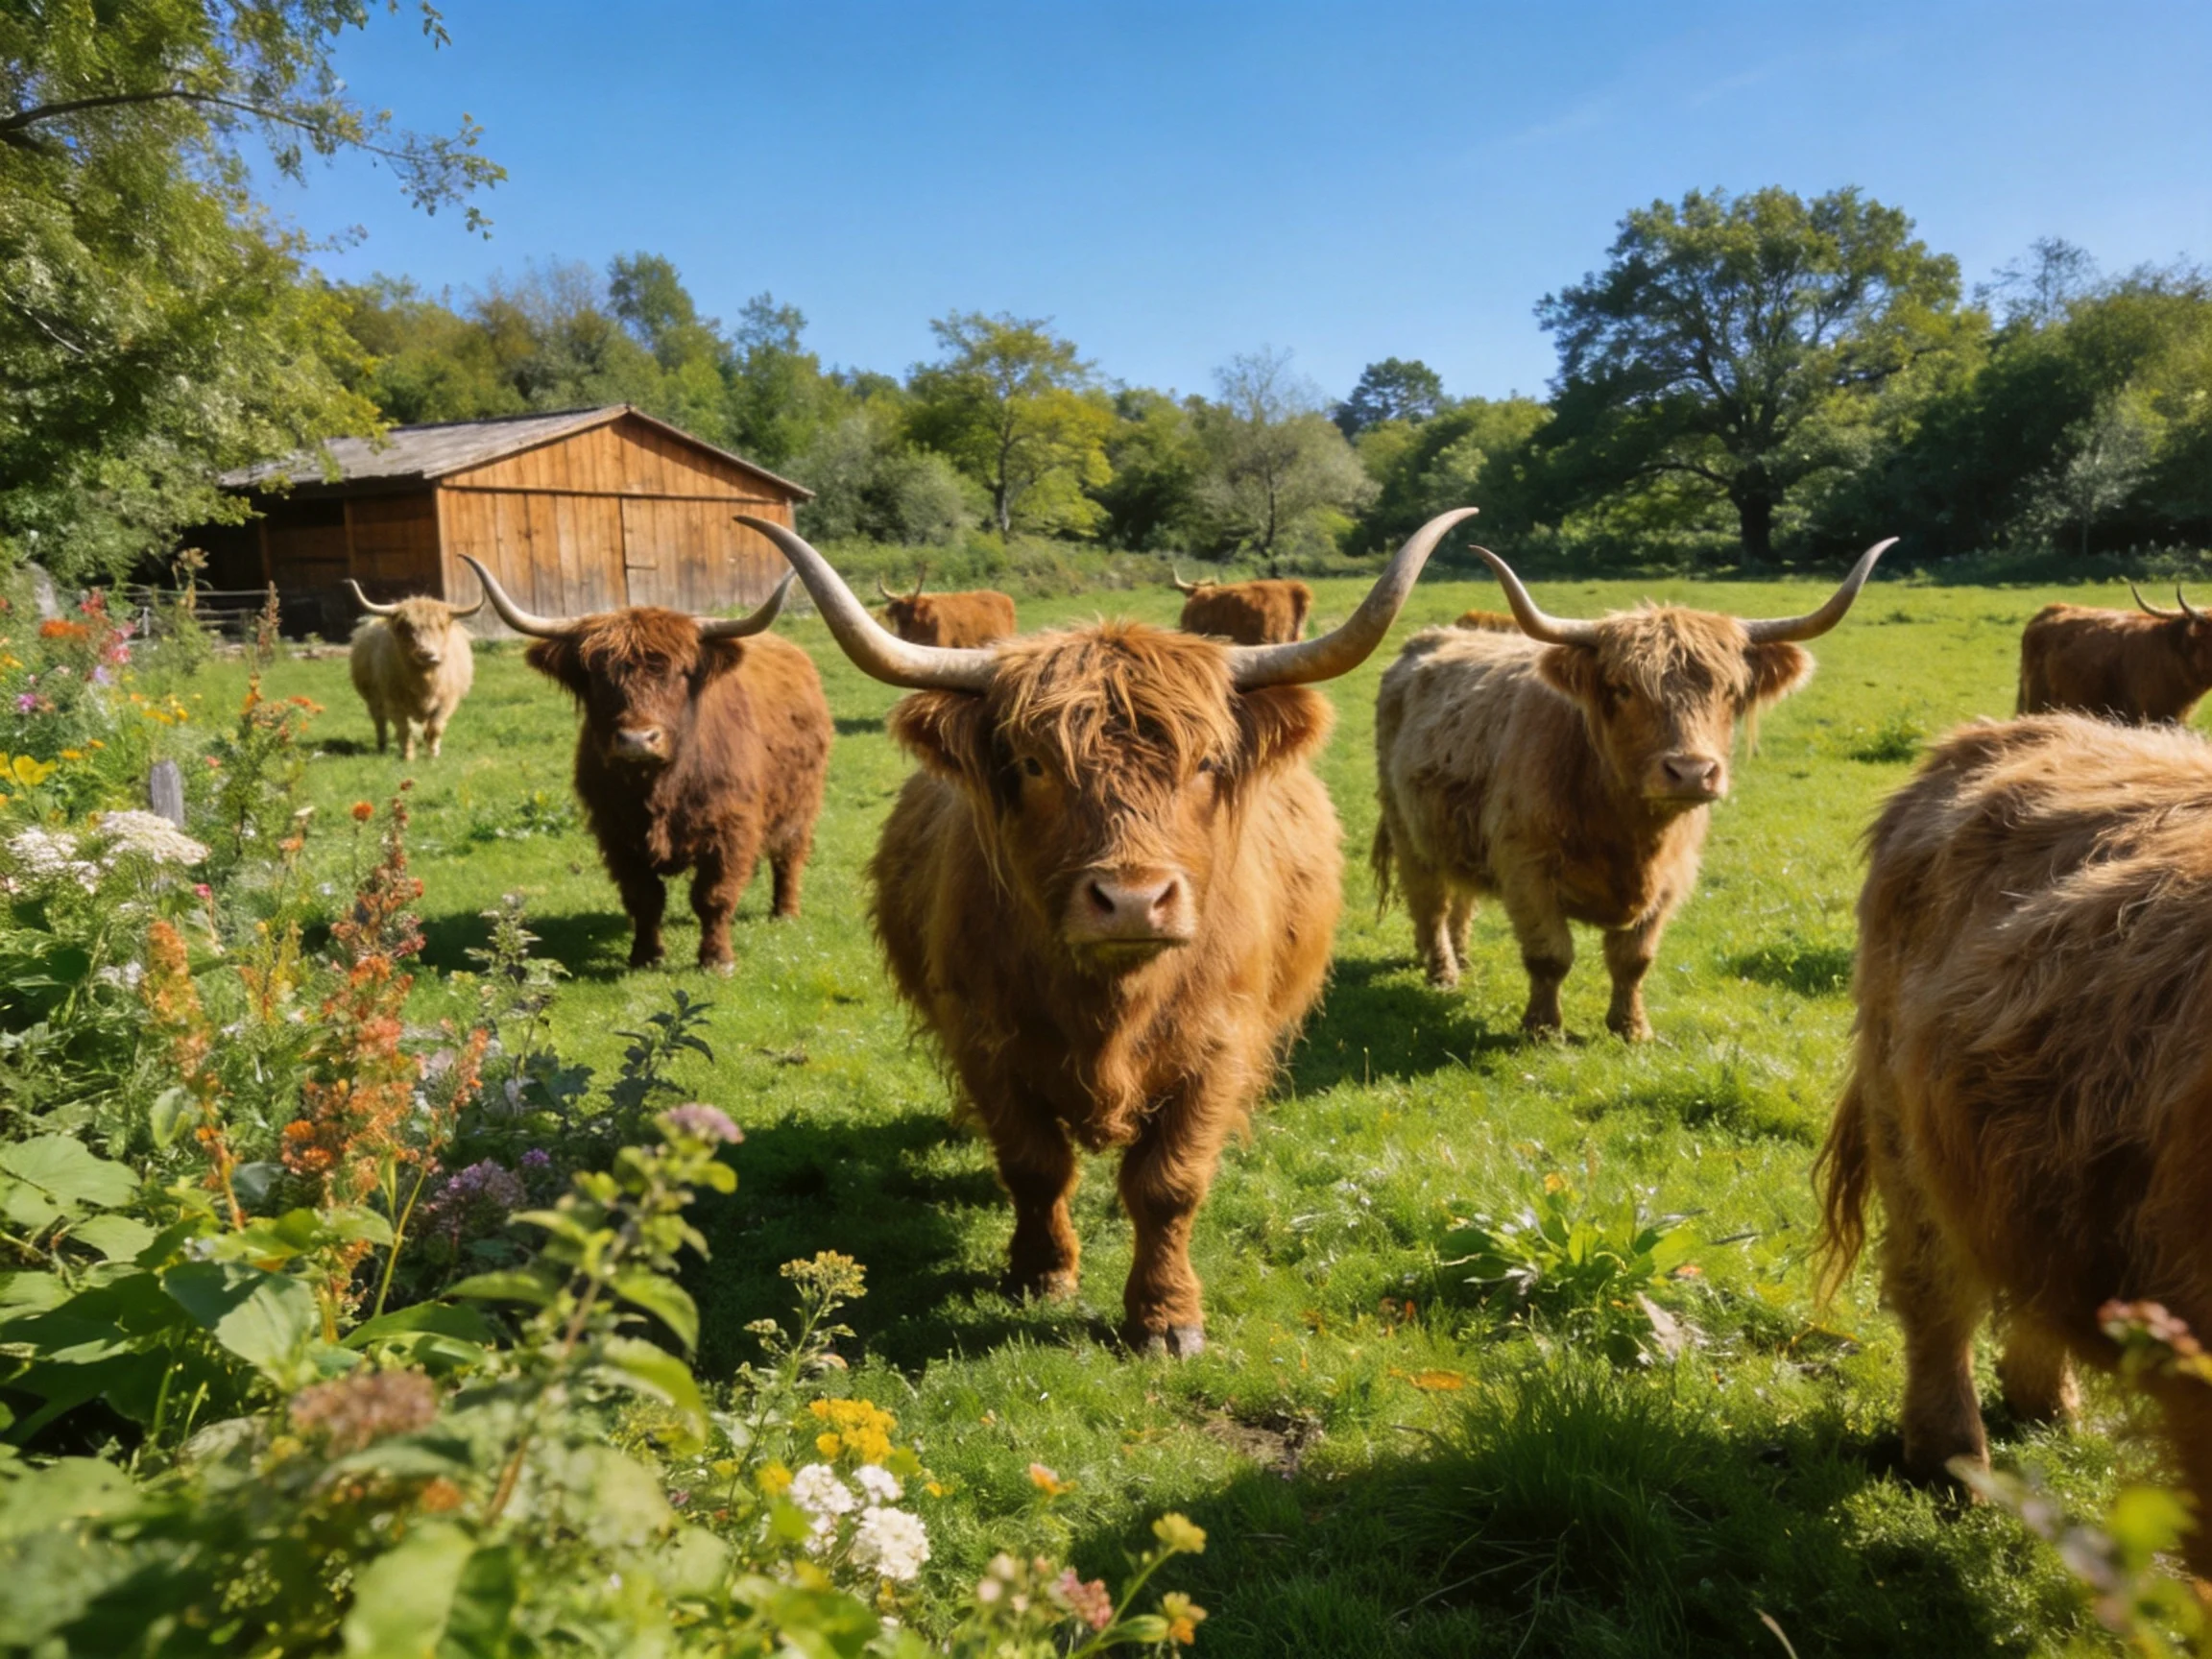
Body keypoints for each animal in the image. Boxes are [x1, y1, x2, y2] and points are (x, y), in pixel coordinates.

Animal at [345, 582, 483, 760]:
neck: (425, 680)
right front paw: (408, 757)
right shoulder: (393, 702)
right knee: (380, 722)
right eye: (407, 627)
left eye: (440, 626)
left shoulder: (447, 701)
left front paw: (433, 754)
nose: (426, 653)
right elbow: (404, 729)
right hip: (373, 700)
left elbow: (435, 727)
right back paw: (382, 747)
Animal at [461, 557, 829, 972]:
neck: (658, 786)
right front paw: (645, 956)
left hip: (801, 803)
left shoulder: (730, 826)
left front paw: (717, 960)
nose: (637, 739)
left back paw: (785, 912)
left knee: (789, 855)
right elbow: (644, 898)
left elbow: (713, 895)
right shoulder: (617, 834)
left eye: (680, 672)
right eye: (598, 676)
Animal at [1371, 541, 1894, 1039]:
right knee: (1430, 901)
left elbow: (1634, 959)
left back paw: (1462, 957)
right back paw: (1443, 972)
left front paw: (1632, 1028)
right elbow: (1550, 955)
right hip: (1405, 827)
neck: (1626, 828)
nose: (1691, 772)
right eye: (1623, 689)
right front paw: (1542, 1029)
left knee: (1462, 894)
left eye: (1729, 691)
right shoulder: (1526, 866)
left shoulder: (1672, 876)